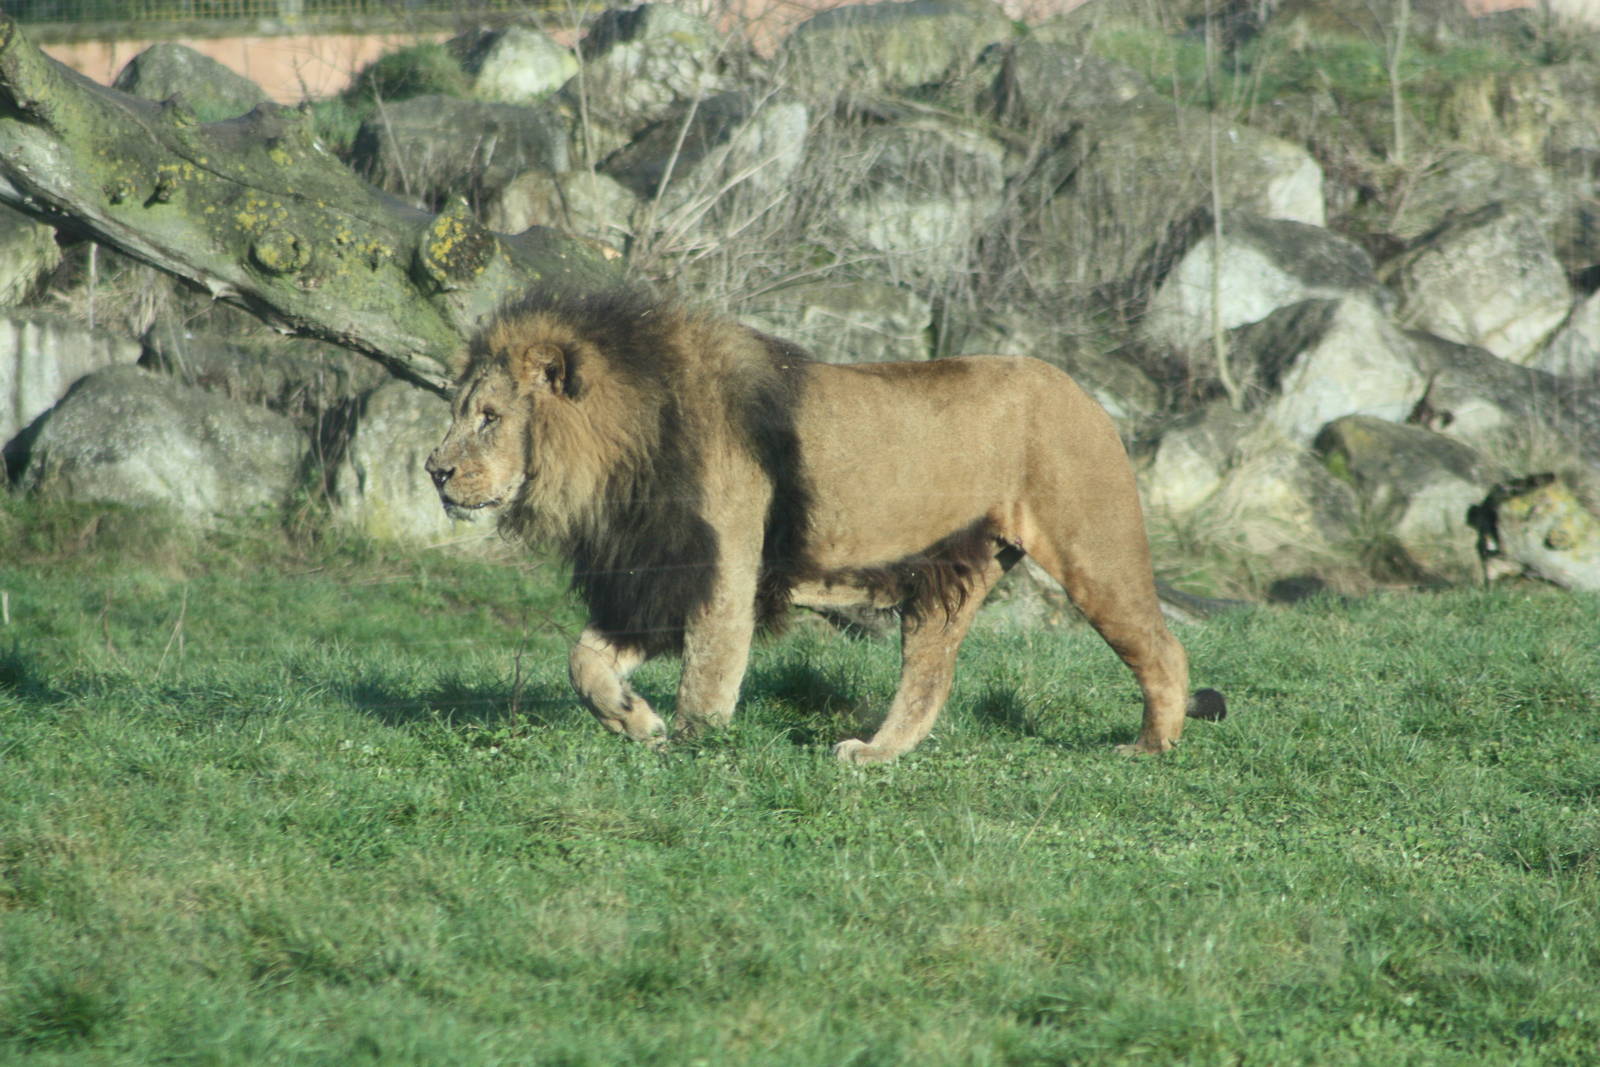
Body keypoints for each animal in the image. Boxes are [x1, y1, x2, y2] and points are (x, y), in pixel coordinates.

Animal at [426, 288, 1225, 763]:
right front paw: (634, 721)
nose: (435, 470)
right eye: (460, 411)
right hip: (949, 574)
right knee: (928, 681)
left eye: (489, 418)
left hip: (1095, 548)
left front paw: (693, 748)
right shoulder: (655, 578)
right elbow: (583, 660)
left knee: (1163, 648)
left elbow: (707, 678)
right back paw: (872, 755)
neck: (625, 458)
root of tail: (1084, 392)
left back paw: (1150, 748)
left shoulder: (722, 575)